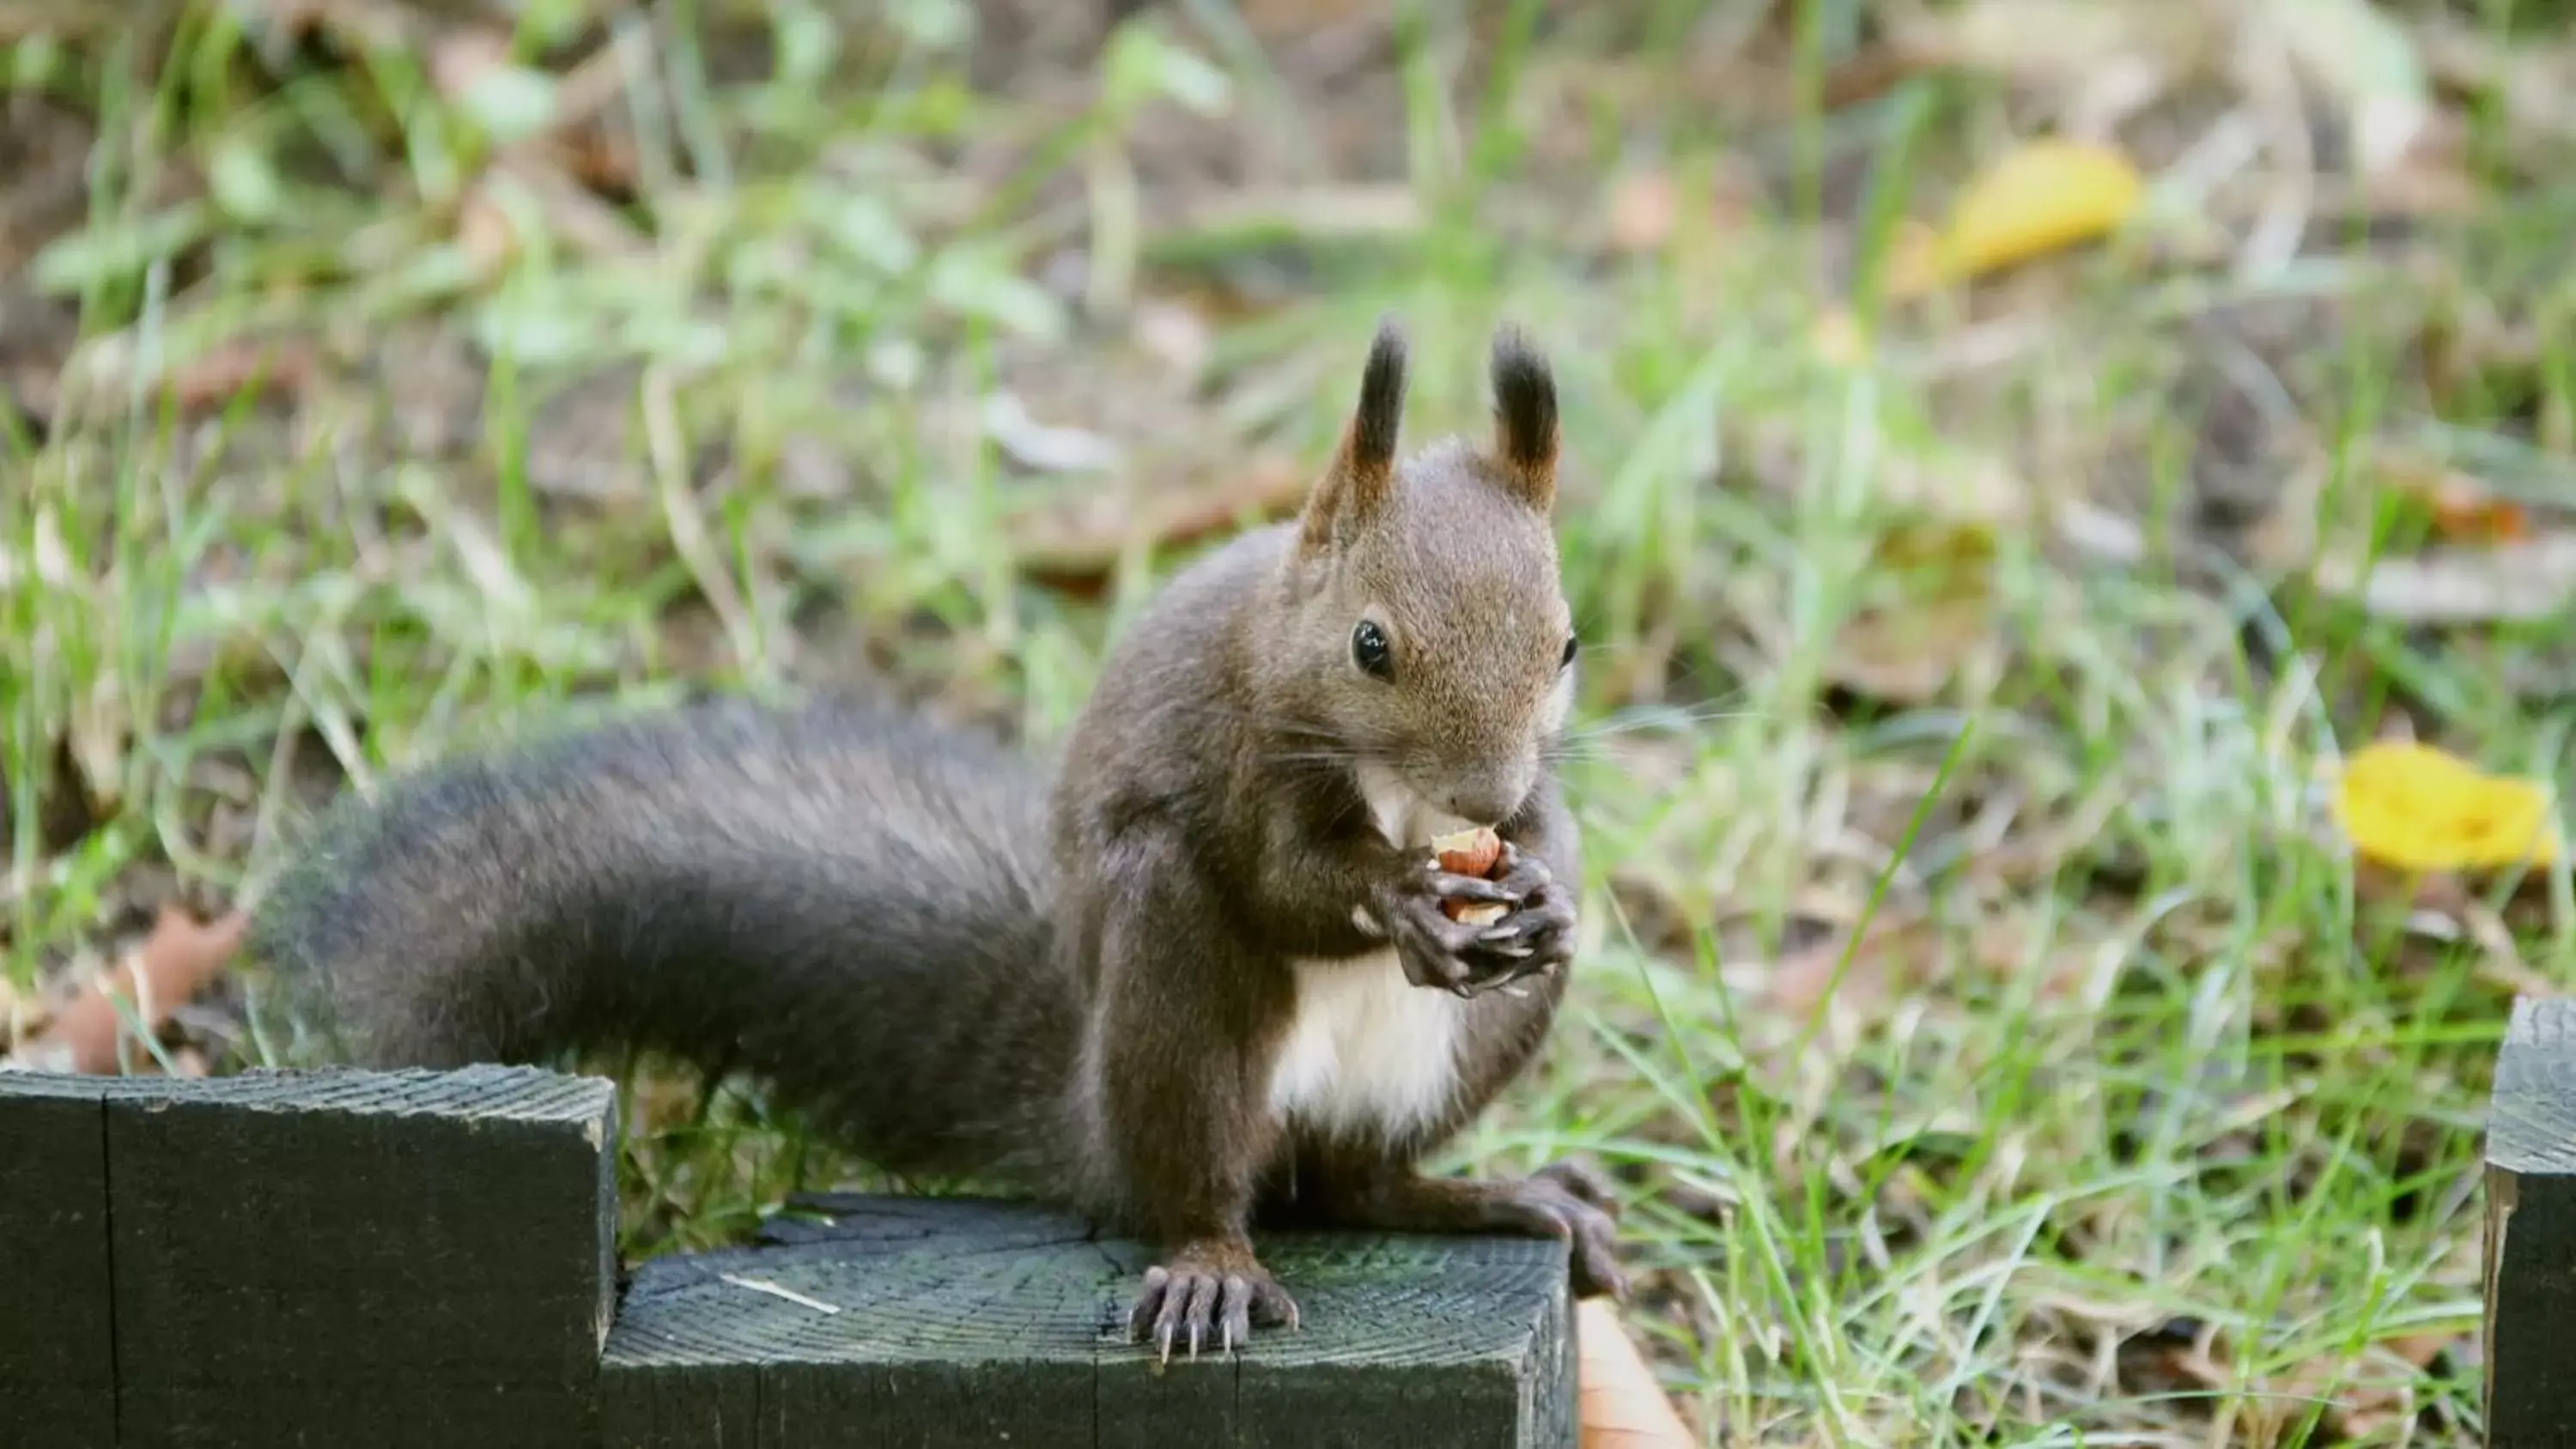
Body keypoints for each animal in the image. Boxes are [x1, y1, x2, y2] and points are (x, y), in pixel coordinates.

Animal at [251, 318, 1618, 1359]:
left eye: (1567, 644)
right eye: (1370, 645)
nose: (1484, 792)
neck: (1409, 800)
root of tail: (1091, 1115)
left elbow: (1546, 833)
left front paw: (1547, 895)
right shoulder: (1242, 749)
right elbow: (1284, 879)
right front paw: (1395, 897)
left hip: (1463, 1053)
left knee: (1358, 1184)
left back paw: (1503, 1196)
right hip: (1173, 981)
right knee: (1206, 1175)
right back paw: (1213, 1259)